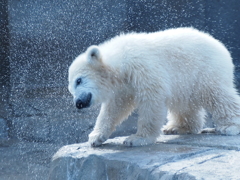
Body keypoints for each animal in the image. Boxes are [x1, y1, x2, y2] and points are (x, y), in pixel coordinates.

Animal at [67, 27, 240, 146]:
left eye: (79, 80)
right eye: (71, 89)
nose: (78, 103)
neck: (121, 60)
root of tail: (219, 44)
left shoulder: (142, 68)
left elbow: (152, 100)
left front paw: (136, 139)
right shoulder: (123, 87)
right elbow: (114, 108)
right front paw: (95, 137)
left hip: (205, 71)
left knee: (217, 95)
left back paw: (229, 126)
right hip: (185, 82)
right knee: (183, 104)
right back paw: (176, 127)